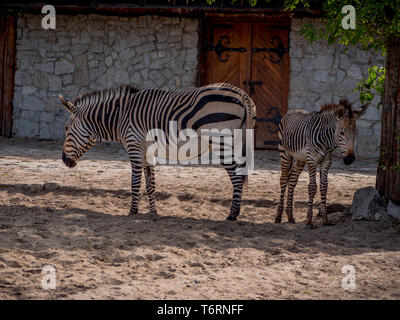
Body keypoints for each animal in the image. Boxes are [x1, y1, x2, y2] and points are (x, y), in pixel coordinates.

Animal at [276, 99, 368, 229]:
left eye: (356, 133)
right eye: (341, 133)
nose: (350, 159)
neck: (327, 141)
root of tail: (291, 111)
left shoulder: (326, 161)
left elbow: (324, 186)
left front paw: (325, 220)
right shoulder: (312, 160)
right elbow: (312, 187)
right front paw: (309, 221)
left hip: (300, 158)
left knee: (292, 179)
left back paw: (290, 216)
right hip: (284, 153)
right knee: (283, 179)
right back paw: (278, 217)